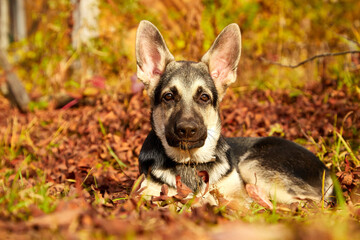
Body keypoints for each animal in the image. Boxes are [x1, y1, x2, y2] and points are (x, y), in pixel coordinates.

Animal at [136, 20, 334, 208]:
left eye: (204, 97)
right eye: (168, 96)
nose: (187, 130)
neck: (190, 161)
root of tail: (327, 171)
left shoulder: (237, 197)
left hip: (252, 165)